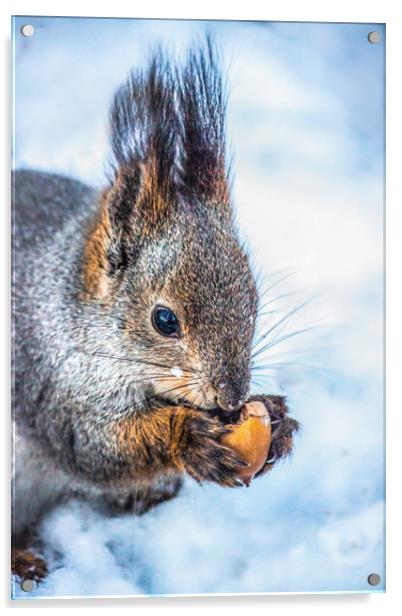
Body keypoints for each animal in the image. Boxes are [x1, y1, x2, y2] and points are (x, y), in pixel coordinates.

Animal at [11, 39, 298, 584]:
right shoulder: (48, 383)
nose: (232, 398)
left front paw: (276, 417)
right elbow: (97, 445)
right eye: (164, 320)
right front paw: (189, 437)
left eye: (253, 301)